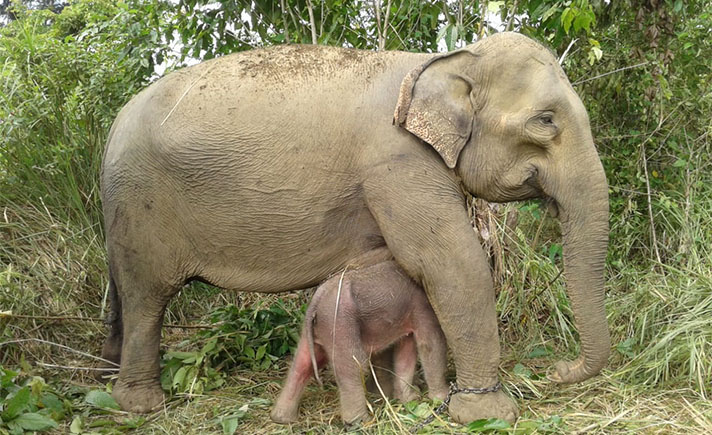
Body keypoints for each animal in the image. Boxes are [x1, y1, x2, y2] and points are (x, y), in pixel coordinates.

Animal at [270, 260, 448, 424]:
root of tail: (316, 301)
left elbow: (406, 349)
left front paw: (409, 399)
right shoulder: (423, 306)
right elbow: (430, 342)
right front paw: (440, 398)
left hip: (319, 330)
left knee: (302, 363)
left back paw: (281, 418)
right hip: (341, 325)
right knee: (352, 366)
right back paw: (359, 422)